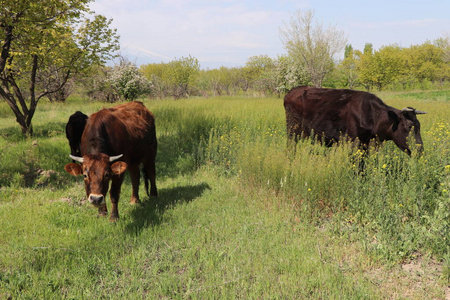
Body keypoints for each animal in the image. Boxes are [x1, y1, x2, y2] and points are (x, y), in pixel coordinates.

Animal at [284, 86, 428, 155]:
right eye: (409, 126)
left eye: (419, 126)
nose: (420, 149)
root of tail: (292, 91)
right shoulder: (354, 141)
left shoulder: (368, 143)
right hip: (292, 130)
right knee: (290, 146)